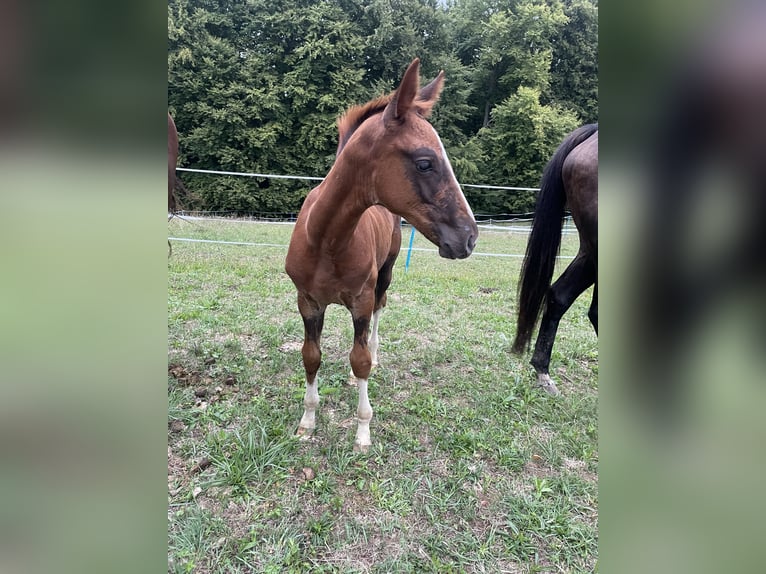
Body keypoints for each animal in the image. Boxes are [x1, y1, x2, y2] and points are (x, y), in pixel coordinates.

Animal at [285, 58, 478, 452]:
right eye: (425, 163)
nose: (469, 237)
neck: (325, 240)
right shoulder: (307, 300)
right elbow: (311, 356)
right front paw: (307, 421)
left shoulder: (360, 299)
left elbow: (359, 360)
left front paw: (362, 431)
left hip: (385, 273)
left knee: (379, 310)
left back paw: (375, 354)